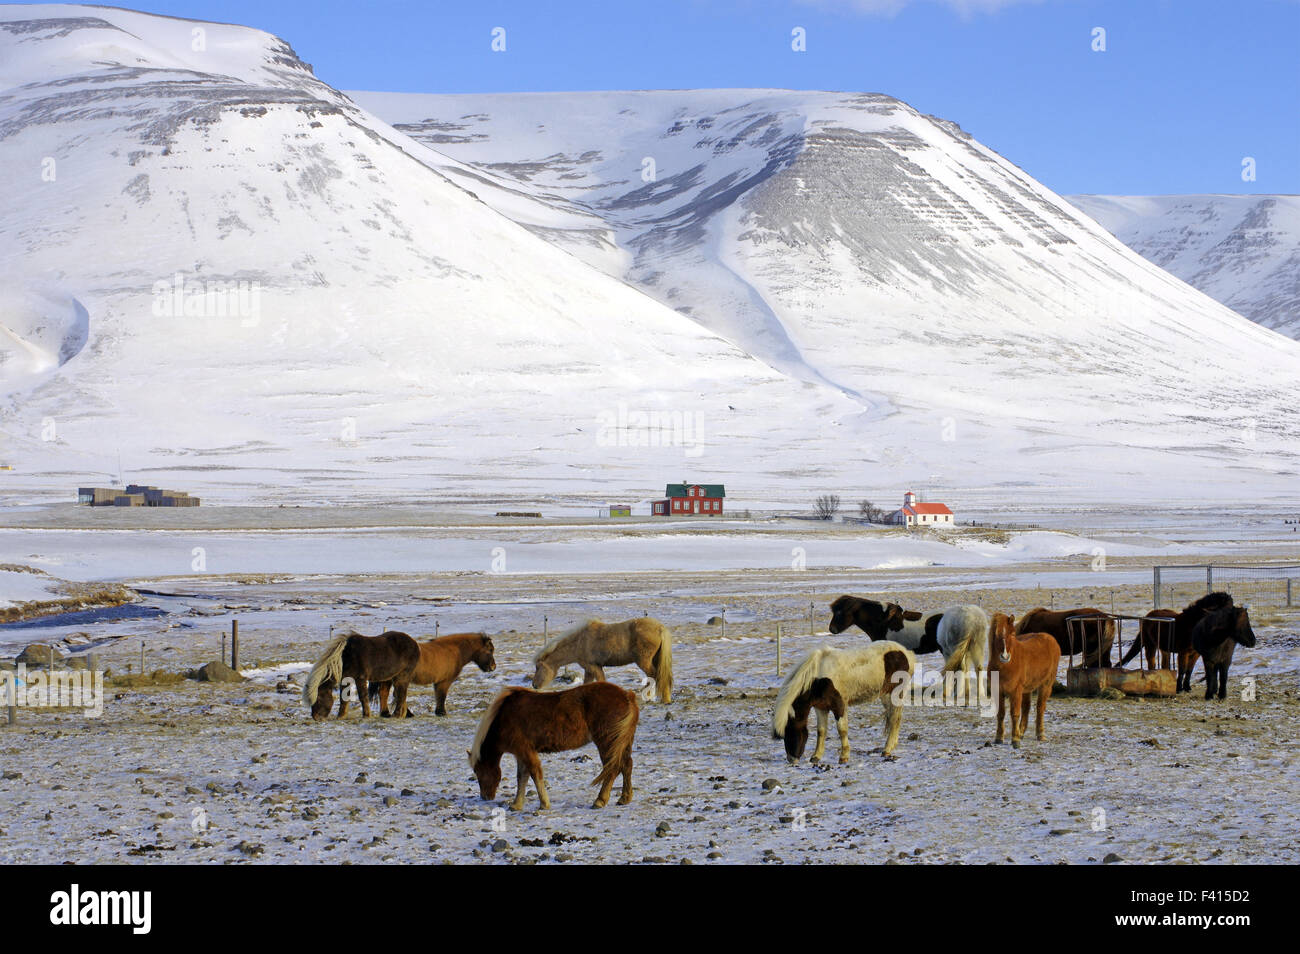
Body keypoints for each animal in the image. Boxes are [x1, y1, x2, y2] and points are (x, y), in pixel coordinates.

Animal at [371, 634, 501, 717]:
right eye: (490, 650)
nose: (493, 667)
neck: (453, 650)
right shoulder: (445, 681)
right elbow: (442, 696)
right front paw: (441, 712)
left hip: (388, 679)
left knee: (384, 693)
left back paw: (387, 713)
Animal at [467, 686, 639, 811]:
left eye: (479, 771)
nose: (485, 797)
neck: (503, 718)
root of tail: (627, 696)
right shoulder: (521, 753)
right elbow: (522, 777)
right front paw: (516, 804)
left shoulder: (525, 751)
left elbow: (534, 774)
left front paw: (544, 804)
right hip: (622, 744)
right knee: (627, 765)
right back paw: (624, 798)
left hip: (607, 743)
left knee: (612, 769)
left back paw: (600, 800)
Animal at [530, 621, 676, 701]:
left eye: (538, 667)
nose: (534, 685)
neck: (579, 642)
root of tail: (660, 628)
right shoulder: (590, 669)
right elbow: (587, 684)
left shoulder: (593, 667)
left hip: (644, 662)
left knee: (656, 676)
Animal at [769, 642, 915, 769]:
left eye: (790, 731)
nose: (791, 759)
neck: (818, 677)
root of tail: (905, 652)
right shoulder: (820, 708)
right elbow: (821, 731)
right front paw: (816, 756)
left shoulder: (839, 705)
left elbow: (842, 730)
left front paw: (844, 757)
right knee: (894, 718)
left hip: (893, 694)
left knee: (895, 718)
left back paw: (887, 750)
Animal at [987, 613, 1060, 753]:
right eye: (996, 634)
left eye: (1012, 634)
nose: (1005, 657)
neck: (1005, 667)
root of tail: (1050, 638)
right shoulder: (997, 691)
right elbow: (1001, 714)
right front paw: (999, 738)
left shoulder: (1015, 691)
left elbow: (1015, 714)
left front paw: (1015, 740)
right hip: (1027, 688)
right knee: (1026, 707)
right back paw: (1021, 731)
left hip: (1046, 684)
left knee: (1040, 708)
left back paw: (1040, 734)